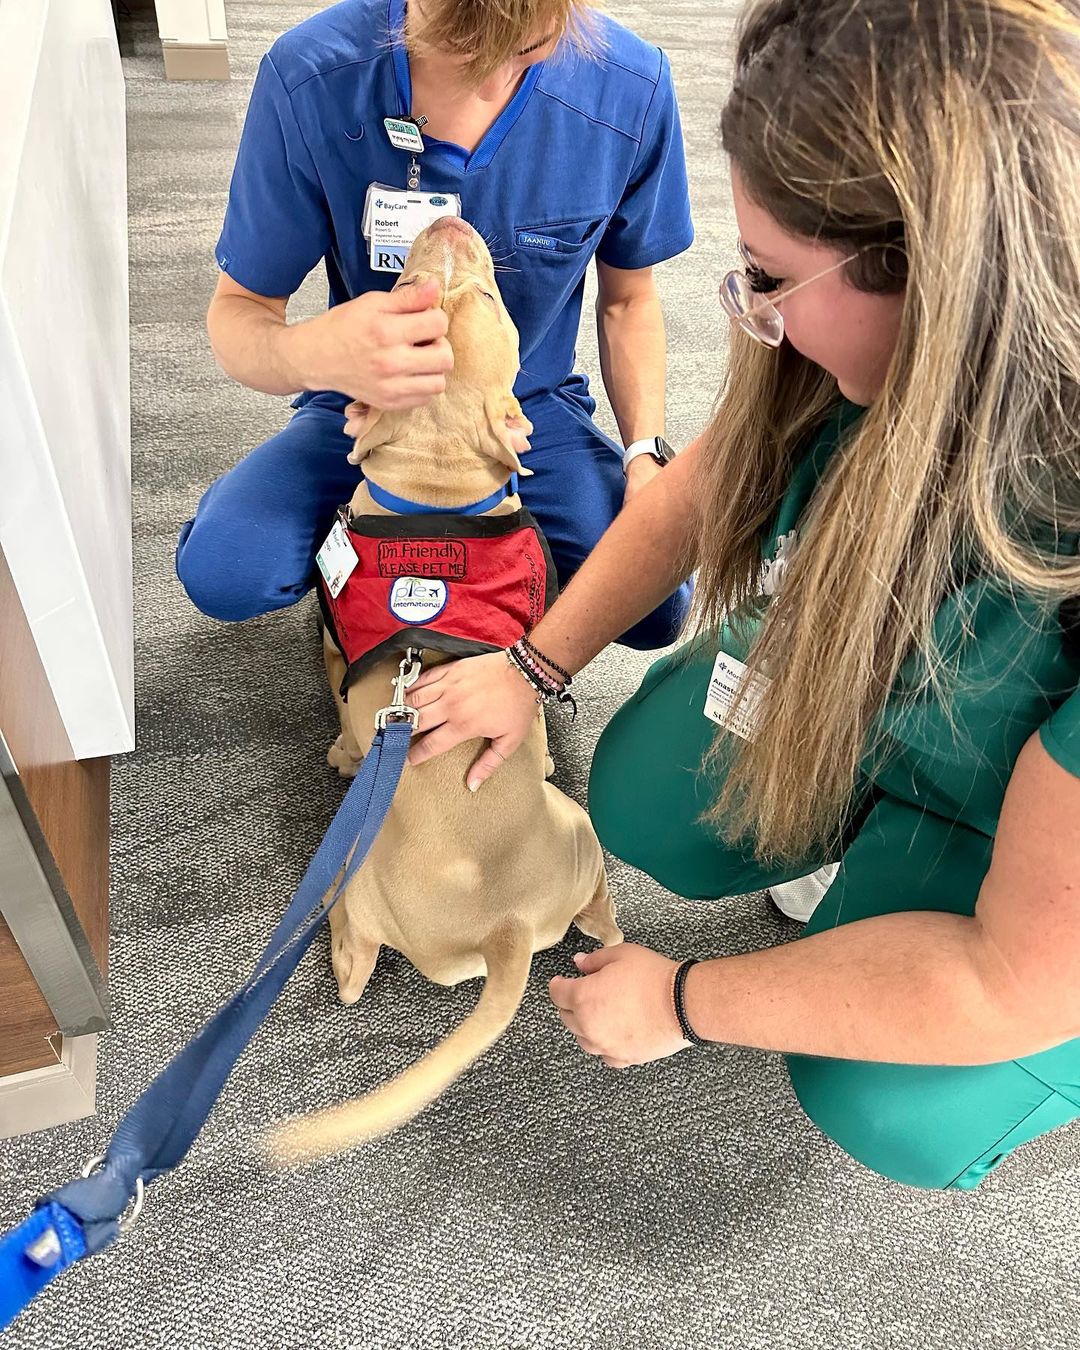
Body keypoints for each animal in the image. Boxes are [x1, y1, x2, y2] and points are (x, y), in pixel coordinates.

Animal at [265, 216, 621, 1166]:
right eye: (409, 295)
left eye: (489, 296)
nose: (453, 222)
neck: (437, 490)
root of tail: (505, 929)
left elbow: (338, 706)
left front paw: (340, 750)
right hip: (578, 834)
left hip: (355, 878)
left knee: (353, 960)